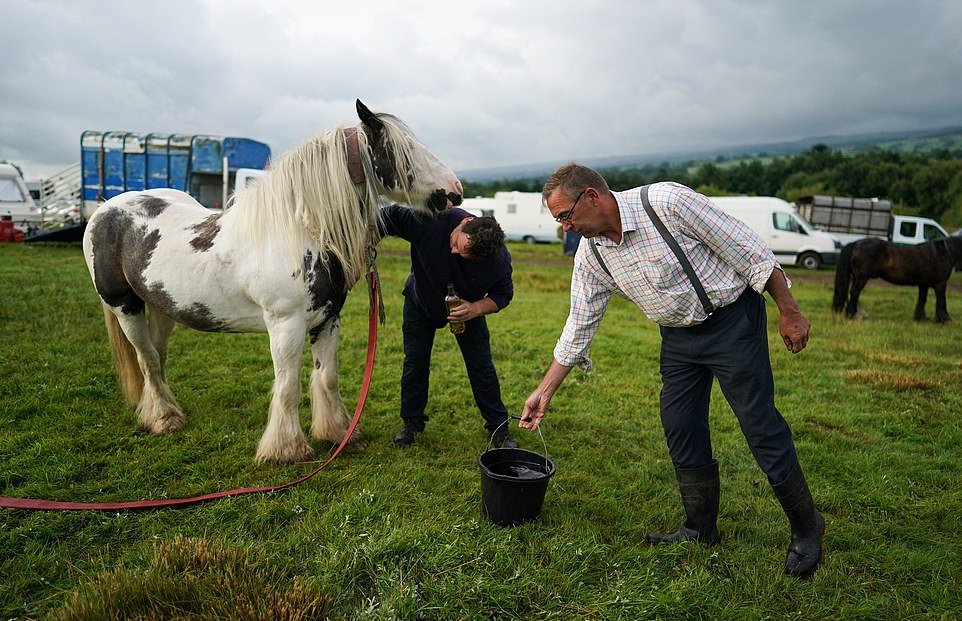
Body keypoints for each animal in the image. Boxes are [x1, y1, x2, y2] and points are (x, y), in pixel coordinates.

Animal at [80, 100, 464, 460]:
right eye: (403, 149)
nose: (454, 191)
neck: (301, 232)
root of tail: (105, 208)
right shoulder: (285, 325)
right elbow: (288, 386)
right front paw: (287, 450)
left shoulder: (328, 321)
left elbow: (327, 377)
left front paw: (339, 435)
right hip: (125, 306)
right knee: (145, 358)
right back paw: (164, 419)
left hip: (163, 307)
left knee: (157, 357)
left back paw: (165, 411)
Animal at [828, 235, 960, 322]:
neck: (943, 252)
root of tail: (856, 243)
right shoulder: (940, 283)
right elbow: (941, 301)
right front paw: (945, 319)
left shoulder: (923, 284)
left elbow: (922, 299)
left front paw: (920, 318)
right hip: (862, 278)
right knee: (854, 293)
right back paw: (852, 315)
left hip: (857, 277)